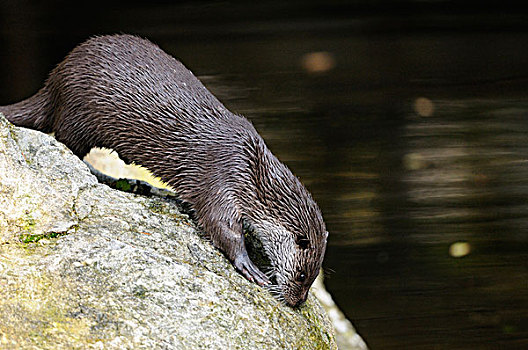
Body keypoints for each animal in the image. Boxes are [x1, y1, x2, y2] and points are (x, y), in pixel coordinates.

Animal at [1, 33, 326, 306]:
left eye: (311, 280)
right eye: (302, 276)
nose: (297, 302)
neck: (251, 170)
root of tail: (55, 79)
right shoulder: (222, 178)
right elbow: (221, 225)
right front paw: (249, 266)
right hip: (79, 114)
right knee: (71, 149)